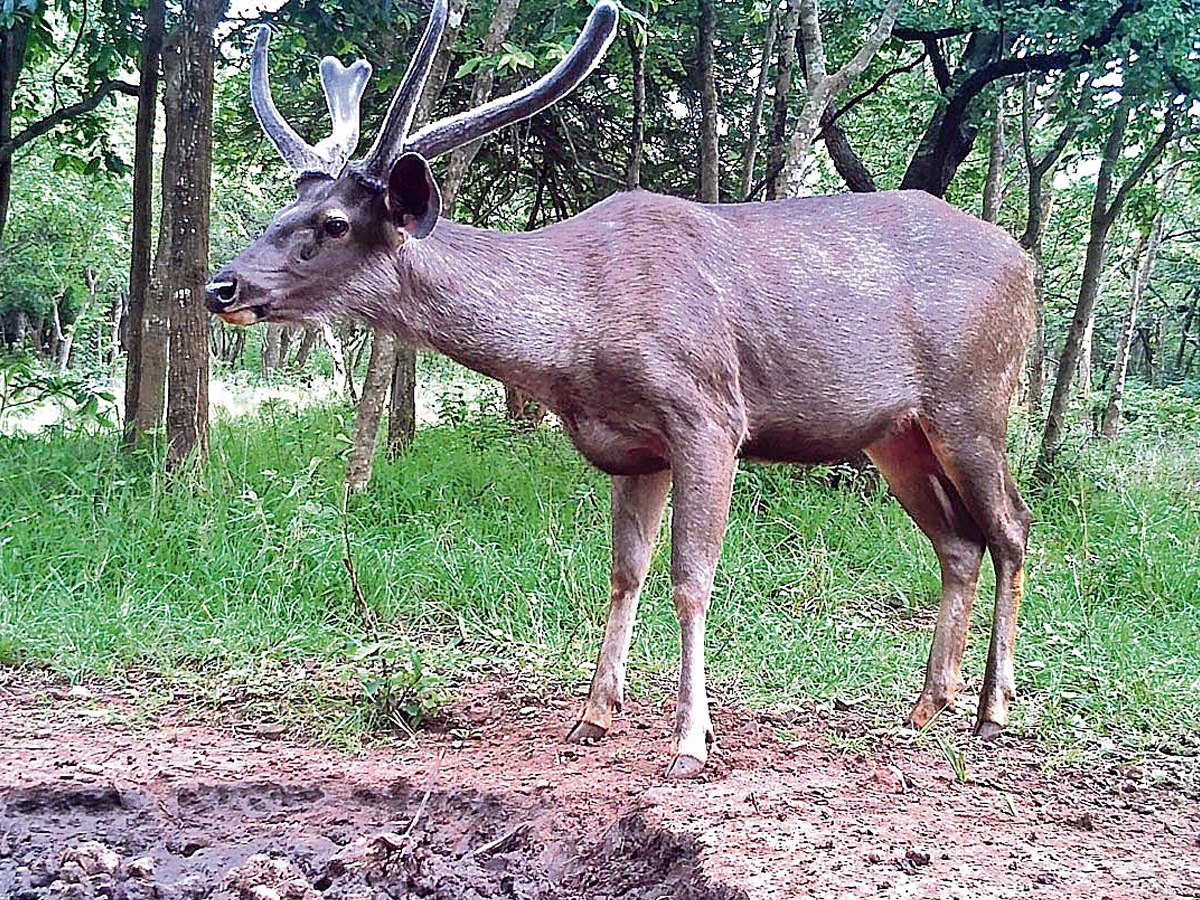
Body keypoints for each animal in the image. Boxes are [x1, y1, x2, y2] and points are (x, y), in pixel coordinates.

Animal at [206, 0, 1032, 777]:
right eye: (280, 210)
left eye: (334, 222)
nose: (222, 286)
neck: (577, 334)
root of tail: (1024, 263)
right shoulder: (633, 447)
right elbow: (624, 571)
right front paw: (594, 714)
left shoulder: (709, 414)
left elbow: (690, 578)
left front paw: (691, 742)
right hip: (895, 432)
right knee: (958, 542)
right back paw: (928, 703)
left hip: (976, 397)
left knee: (1013, 528)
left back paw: (992, 710)